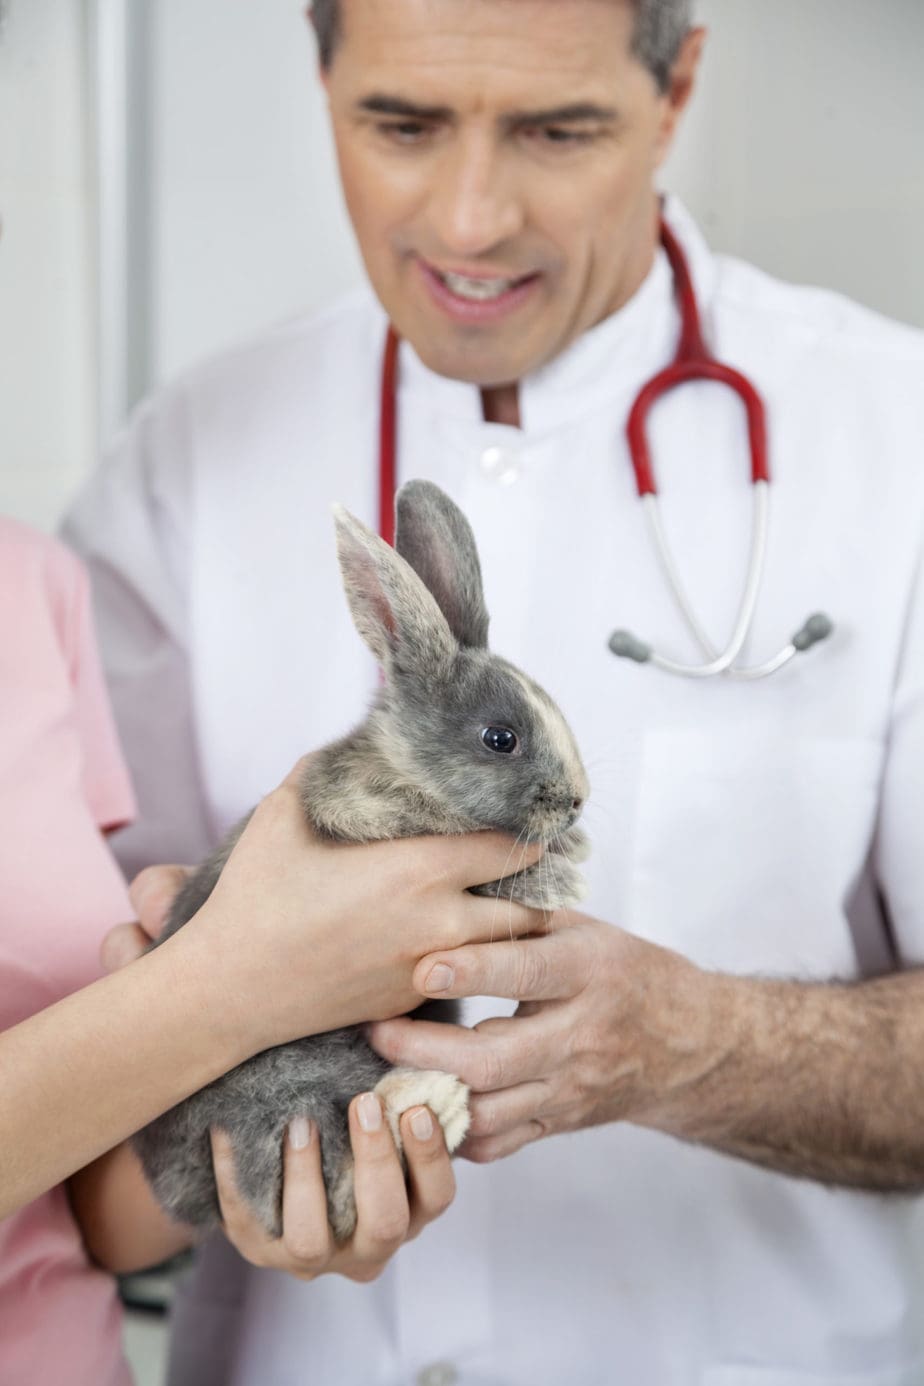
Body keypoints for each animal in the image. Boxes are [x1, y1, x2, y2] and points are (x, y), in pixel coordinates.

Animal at [133, 479, 590, 1242]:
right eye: (501, 738)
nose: (579, 802)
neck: (407, 768)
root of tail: (170, 1194)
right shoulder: (369, 821)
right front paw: (560, 877)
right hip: (284, 1081)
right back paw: (432, 1097)